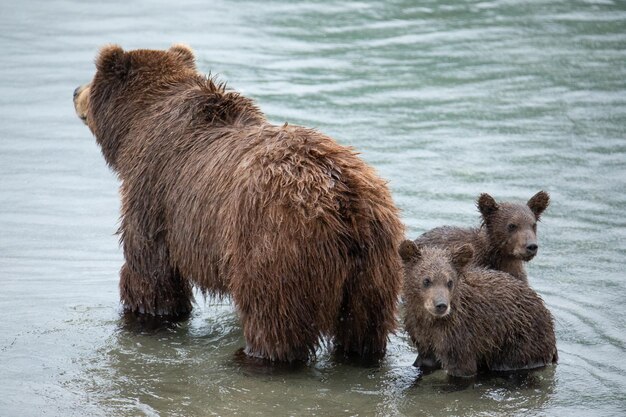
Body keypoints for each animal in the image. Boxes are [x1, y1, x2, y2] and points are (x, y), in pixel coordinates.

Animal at [74, 44, 404, 360]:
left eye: (92, 79)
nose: (75, 91)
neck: (138, 125)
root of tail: (344, 198)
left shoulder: (153, 189)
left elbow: (150, 268)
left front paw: (145, 316)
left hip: (276, 243)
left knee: (273, 317)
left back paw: (254, 356)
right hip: (374, 264)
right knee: (365, 327)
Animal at [400, 239, 556, 376]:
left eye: (449, 282)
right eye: (426, 280)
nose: (441, 305)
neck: (431, 321)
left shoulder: (461, 337)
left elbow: (463, 369)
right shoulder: (422, 335)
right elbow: (425, 360)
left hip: (520, 340)